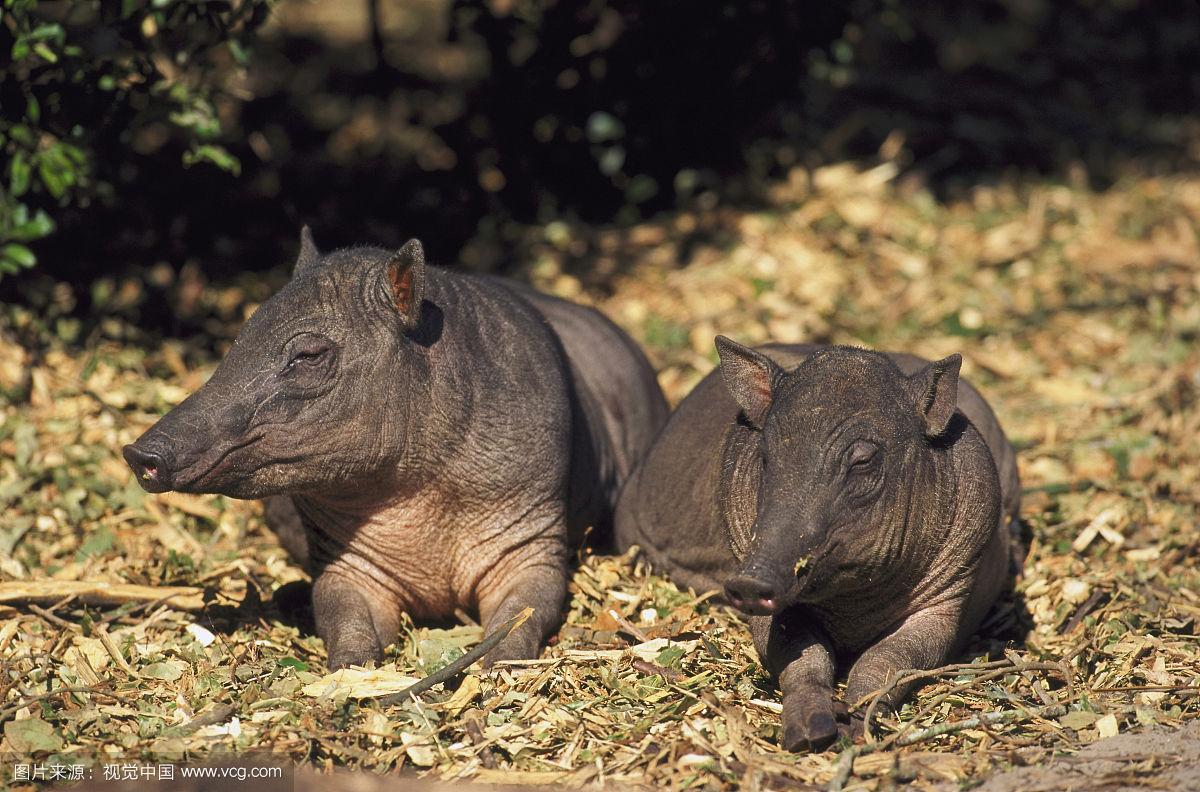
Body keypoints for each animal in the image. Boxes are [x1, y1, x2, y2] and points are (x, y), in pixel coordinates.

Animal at [126, 226, 672, 667]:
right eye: (236, 343)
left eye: (307, 356)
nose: (138, 453)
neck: (416, 491)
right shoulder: (347, 561)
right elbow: (339, 609)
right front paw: (354, 666)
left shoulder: (531, 527)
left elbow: (529, 604)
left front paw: (495, 662)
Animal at [619, 338, 1022, 753]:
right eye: (767, 456)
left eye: (863, 459)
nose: (749, 581)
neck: (855, 605)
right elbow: (804, 657)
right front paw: (809, 736)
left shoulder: (949, 593)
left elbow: (889, 659)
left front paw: (856, 727)